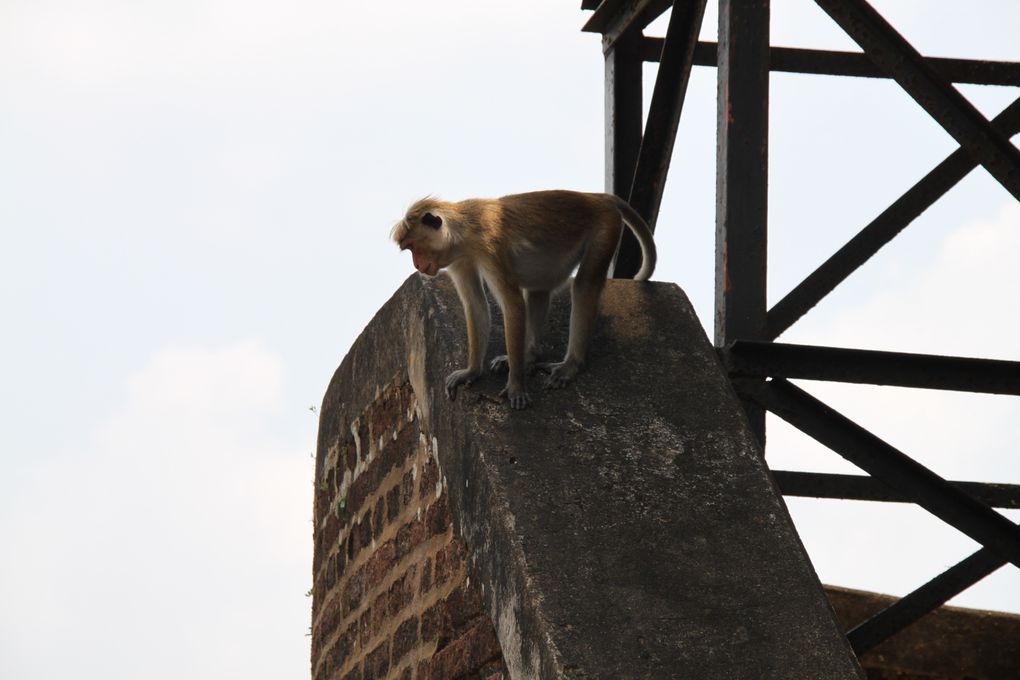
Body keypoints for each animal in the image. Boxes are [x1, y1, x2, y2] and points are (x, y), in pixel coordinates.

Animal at [389, 190, 652, 409]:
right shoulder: (458, 258)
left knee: (584, 284)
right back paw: (530, 355)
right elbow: (476, 306)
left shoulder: (488, 247)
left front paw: (516, 386)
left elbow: (513, 305)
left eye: (413, 247)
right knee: (538, 289)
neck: (464, 229)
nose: (417, 264)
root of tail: (596, 197)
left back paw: (570, 364)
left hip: (605, 226)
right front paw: (471, 372)